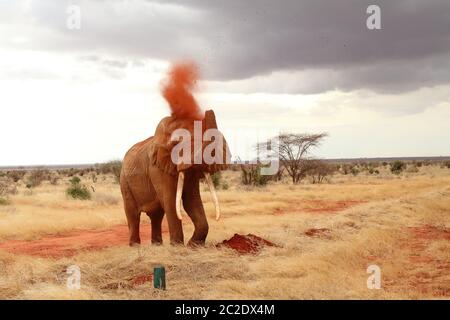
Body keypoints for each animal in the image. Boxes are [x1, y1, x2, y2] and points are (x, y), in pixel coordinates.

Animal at [119, 109, 230, 246]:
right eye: (177, 143)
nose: (207, 110)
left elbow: (192, 201)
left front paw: (192, 246)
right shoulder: (156, 168)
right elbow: (170, 201)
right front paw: (177, 246)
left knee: (156, 216)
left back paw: (157, 246)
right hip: (124, 181)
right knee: (133, 214)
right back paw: (135, 247)